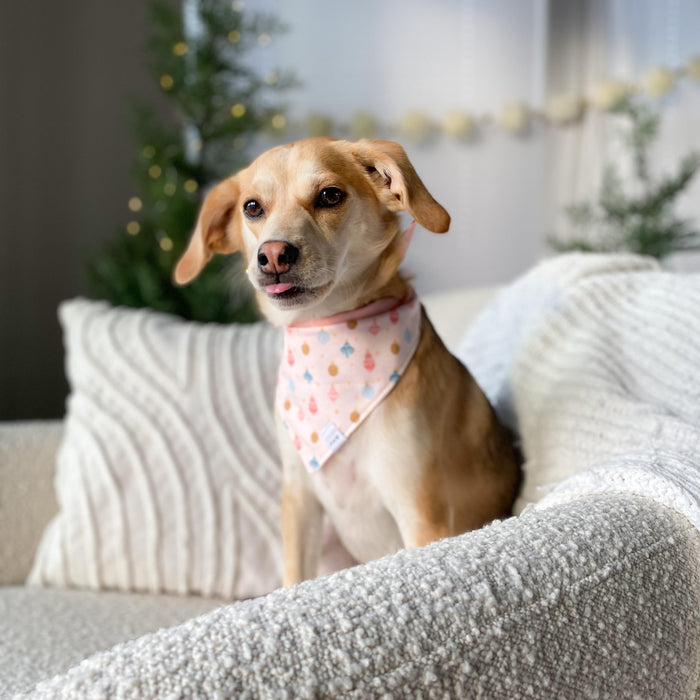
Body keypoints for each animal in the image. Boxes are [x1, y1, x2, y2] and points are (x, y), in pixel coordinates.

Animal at [175, 137, 520, 584]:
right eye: (252, 207)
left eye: (329, 196)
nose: (273, 255)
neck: (330, 336)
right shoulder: (300, 501)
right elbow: (294, 579)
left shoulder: (421, 512)